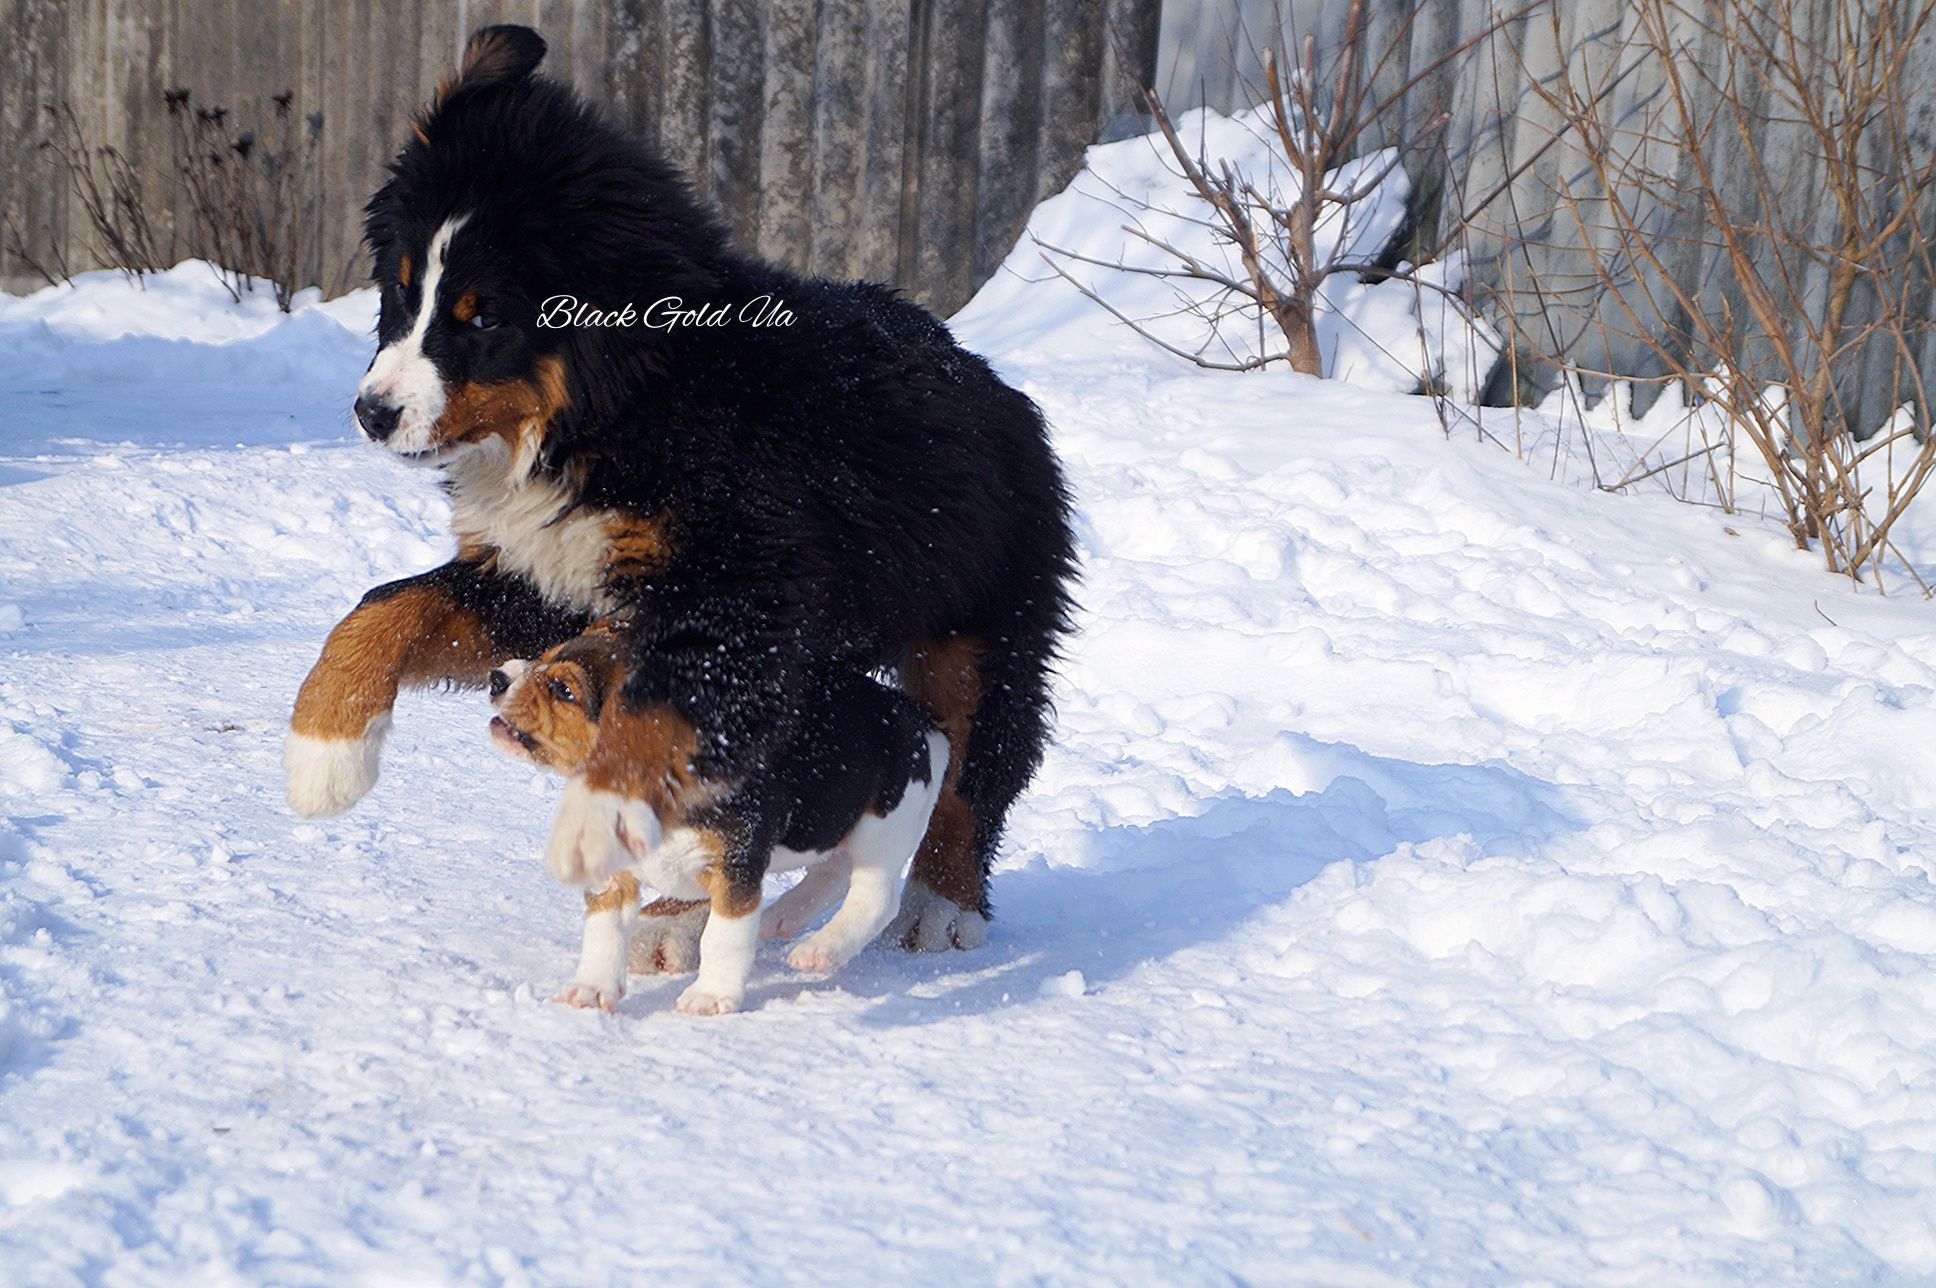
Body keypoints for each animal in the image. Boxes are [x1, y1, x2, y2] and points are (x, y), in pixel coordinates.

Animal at [282, 25, 1084, 949]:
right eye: (401, 291)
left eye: (483, 316)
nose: (372, 412)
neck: (614, 415)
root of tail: (993, 383)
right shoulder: (542, 575)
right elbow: (387, 606)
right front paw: (323, 755)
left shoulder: (738, 590)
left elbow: (649, 712)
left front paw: (595, 817)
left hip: (985, 617)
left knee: (978, 755)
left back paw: (938, 906)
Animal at [487, 627, 948, 1007]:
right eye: (544, 656)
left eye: (563, 689)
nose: (496, 678)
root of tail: (918, 720)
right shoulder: (611, 875)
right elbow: (604, 933)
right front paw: (591, 988)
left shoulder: (734, 871)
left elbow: (722, 940)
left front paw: (710, 998)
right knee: (831, 870)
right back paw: (782, 917)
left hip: (886, 826)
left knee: (874, 898)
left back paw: (821, 948)